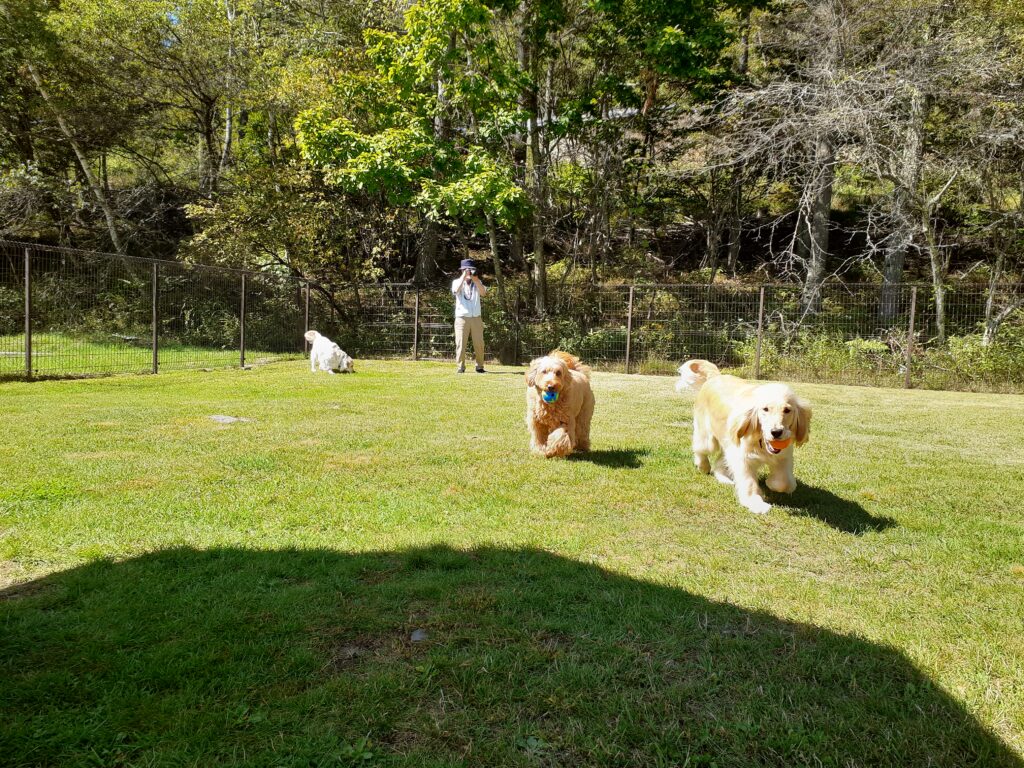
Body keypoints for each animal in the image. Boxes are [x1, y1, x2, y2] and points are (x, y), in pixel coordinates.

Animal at [675, 360, 811, 518]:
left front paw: (771, 483)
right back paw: (703, 466)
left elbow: (785, 483)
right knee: (700, 449)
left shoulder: (784, 456)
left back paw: (724, 479)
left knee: (720, 461)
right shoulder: (742, 457)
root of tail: (715, 376)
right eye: (765, 409)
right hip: (708, 437)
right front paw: (756, 503)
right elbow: (749, 483)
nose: (776, 432)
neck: (760, 441)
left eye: (787, 410)